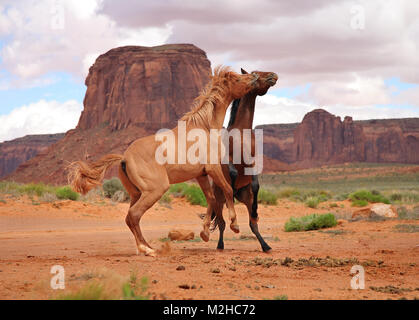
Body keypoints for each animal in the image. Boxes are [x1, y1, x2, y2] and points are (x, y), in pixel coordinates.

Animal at [68, 66, 260, 256]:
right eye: (237, 79)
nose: (254, 77)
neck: (205, 127)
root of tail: (124, 158)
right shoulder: (213, 168)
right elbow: (227, 190)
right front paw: (235, 225)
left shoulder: (201, 174)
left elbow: (211, 199)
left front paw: (205, 233)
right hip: (155, 190)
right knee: (134, 215)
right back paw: (147, 249)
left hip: (137, 193)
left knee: (130, 218)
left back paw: (148, 247)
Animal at [201, 68, 278, 252]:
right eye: (255, 73)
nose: (273, 75)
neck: (241, 134)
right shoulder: (227, 160)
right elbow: (233, 172)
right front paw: (232, 185)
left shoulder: (252, 163)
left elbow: (256, 185)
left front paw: (256, 209)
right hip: (218, 201)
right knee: (221, 223)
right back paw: (220, 245)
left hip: (246, 200)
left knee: (253, 224)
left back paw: (266, 246)